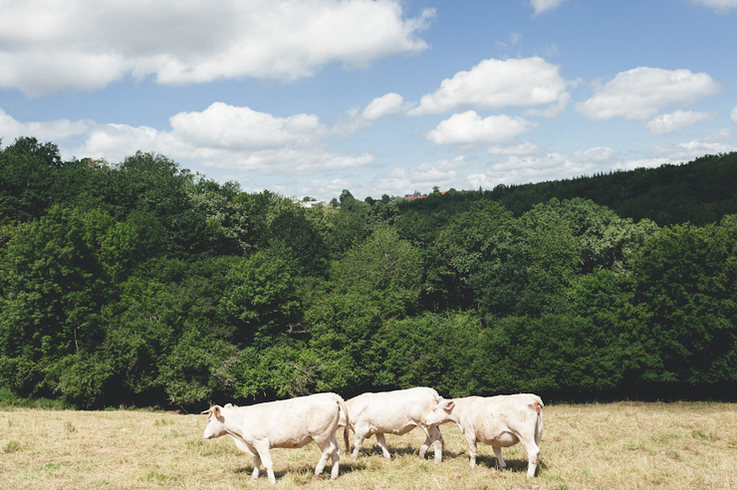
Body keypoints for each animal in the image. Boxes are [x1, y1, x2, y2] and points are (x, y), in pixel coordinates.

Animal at [201, 392, 348, 484]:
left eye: (209, 420)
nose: (204, 435)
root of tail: (331, 396)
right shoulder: (254, 444)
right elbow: (257, 461)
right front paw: (253, 478)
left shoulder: (261, 442)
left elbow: (267, 463)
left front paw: (272, 481)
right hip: (331, 433)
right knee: (336, 451)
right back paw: (334, 475)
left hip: (320, 435)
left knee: (328, 450)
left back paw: (318, 471)